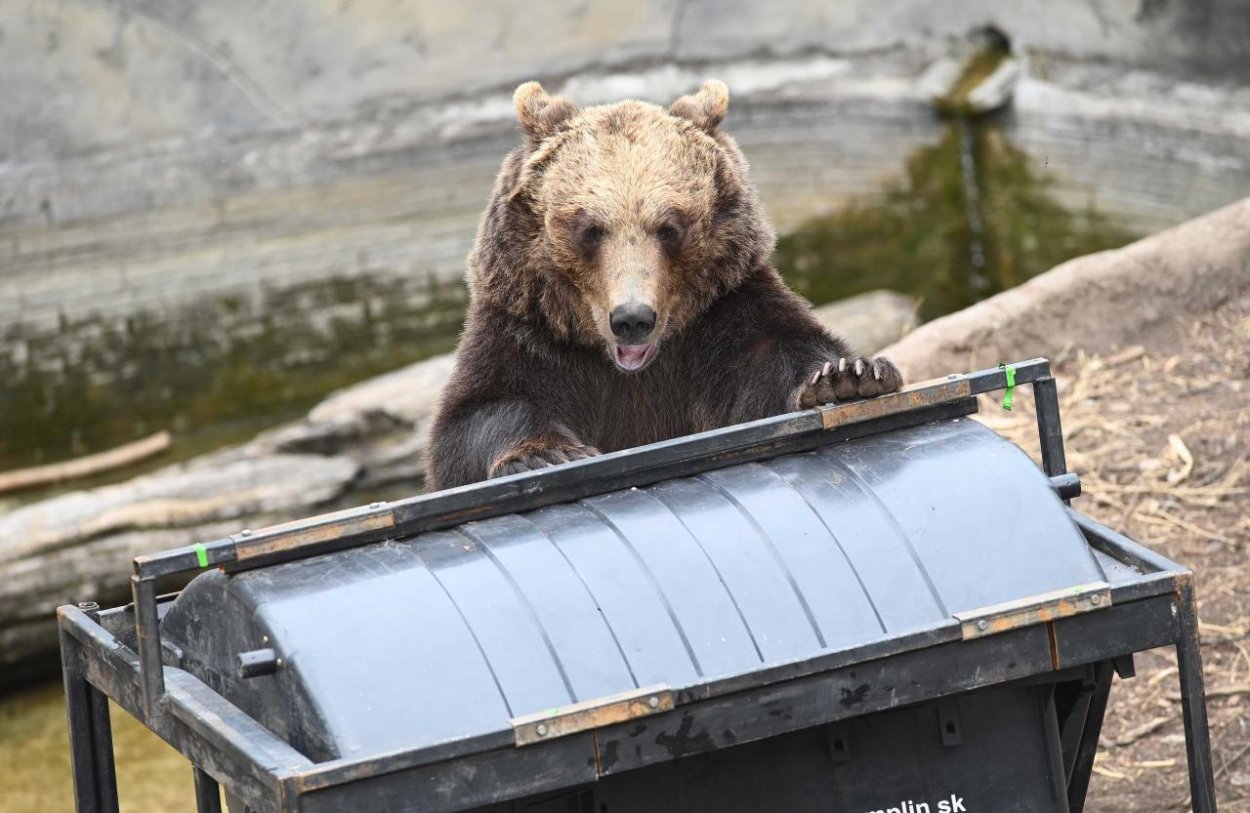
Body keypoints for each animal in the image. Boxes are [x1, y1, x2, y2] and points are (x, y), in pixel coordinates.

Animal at [425, 80, 905, 487]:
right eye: (590, 229)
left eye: (669, 227)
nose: (632, 318)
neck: (632, 370)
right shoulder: (529, 329)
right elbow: (478, 413)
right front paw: (545, 452)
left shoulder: (724, 316)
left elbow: (780, 351)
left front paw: (848, 375)